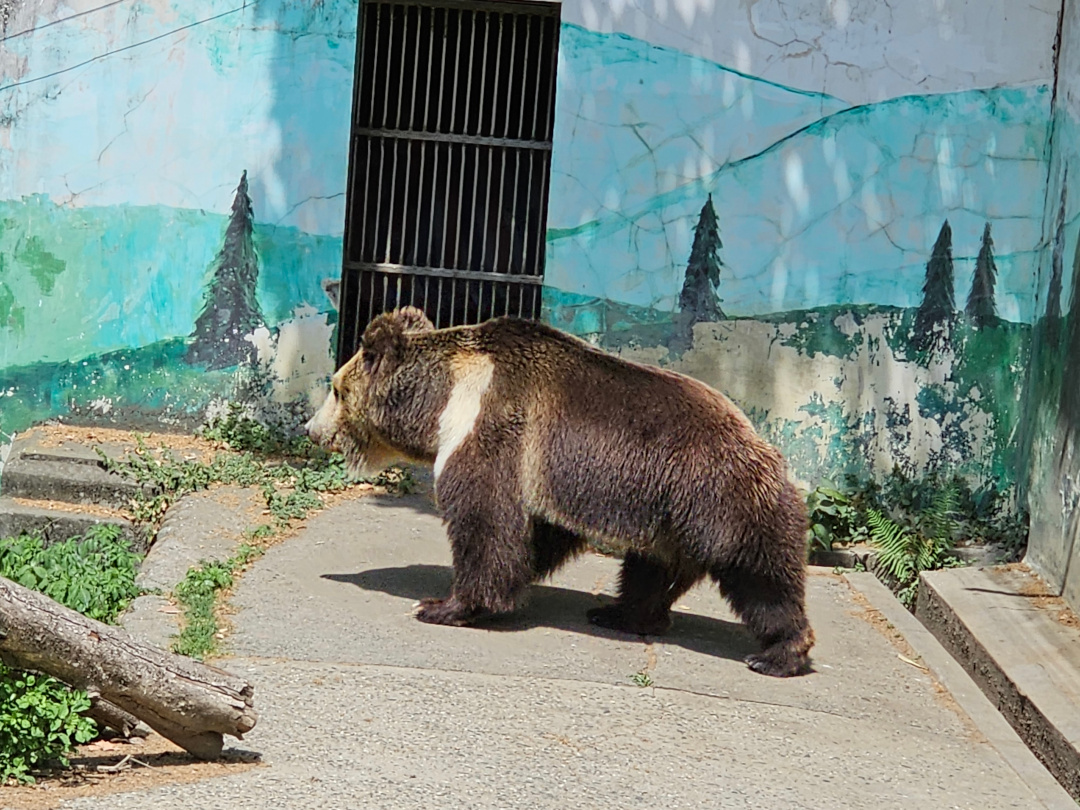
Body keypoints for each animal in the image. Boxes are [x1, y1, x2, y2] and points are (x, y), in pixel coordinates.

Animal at [307, 306, 814, 677]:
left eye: (336, 389)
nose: (312, 429)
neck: (444, 397)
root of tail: (765, 444)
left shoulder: (492, 424)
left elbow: (484, 518)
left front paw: (443, 605)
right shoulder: (542, 476)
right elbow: (534, 533)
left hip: (719, 495)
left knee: (760, 573)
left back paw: (778, 652)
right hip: (664, 513)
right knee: (651, 569)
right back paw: (622, 614)